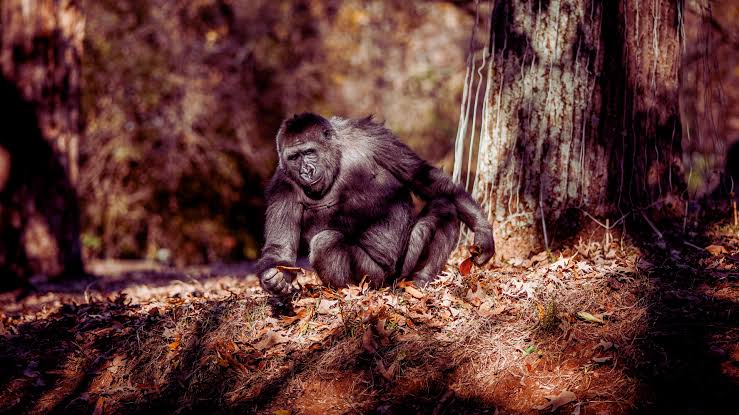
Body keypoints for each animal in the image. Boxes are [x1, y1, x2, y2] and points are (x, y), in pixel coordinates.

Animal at [255, 113, 494, 298]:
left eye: (309, 152)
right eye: (294, 157)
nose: (306, 171)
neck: (337, 157)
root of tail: (391, 283)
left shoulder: (374, 137)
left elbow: (423, 177)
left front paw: (483, 232)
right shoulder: (282, 186)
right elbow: (281, 248)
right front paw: (274, 279)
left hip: (403, 266)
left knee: (445, 207)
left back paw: (421, 278)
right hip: (376, 278)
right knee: (326, 242)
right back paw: (351, 292)